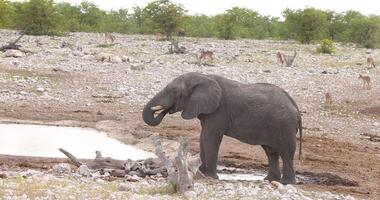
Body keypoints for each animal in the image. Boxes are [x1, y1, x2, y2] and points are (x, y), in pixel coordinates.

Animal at [142, 72, 302, 184]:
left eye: (175, 92)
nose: (164, 110)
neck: (204, 76)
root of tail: (295, 106)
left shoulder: (219, 110)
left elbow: (209, 137)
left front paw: (210, 176)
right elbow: (203, 137)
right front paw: (201, 173)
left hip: (284, 125)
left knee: (286, 153)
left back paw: (286, 183)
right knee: (271, 152)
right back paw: (269, 180)